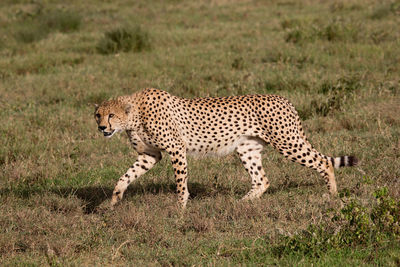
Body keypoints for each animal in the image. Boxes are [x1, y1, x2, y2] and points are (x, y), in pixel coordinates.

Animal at [95, 88, 358, 209]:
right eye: (98, 115)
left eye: (111, 115)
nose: (101, 127)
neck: (134, 115)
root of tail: (284, 99)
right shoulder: (150, 155)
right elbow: (126, 176)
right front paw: (114, 199)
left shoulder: (176, 149)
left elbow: (180, 182)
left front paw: (180, 207)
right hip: (247, 149)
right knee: (262, 180)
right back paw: (242, 203)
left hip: (287, 141)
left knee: (323, 162)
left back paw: (333, 195)